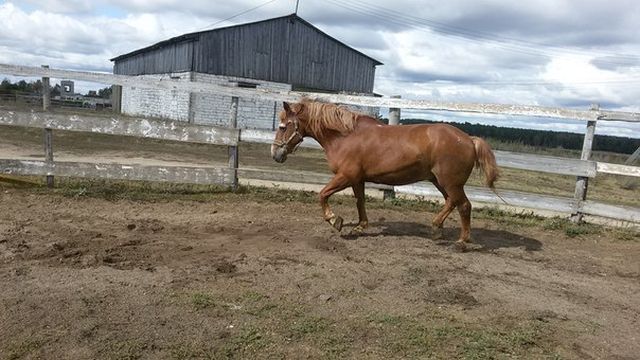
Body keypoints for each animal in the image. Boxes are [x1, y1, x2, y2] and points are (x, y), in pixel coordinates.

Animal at [270, 99, 500, 250]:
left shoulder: (346, 176)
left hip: (450, 182)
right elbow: (360, 201)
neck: (345, 137)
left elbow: (322, 194)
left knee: (464, 206)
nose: (275, 154)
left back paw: (461, 241)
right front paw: (360, 227)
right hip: (441, 182)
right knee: (451, 202)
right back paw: (436, 228)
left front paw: (335, 220)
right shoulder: (357, 179)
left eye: (282, 126)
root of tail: (469, 139)